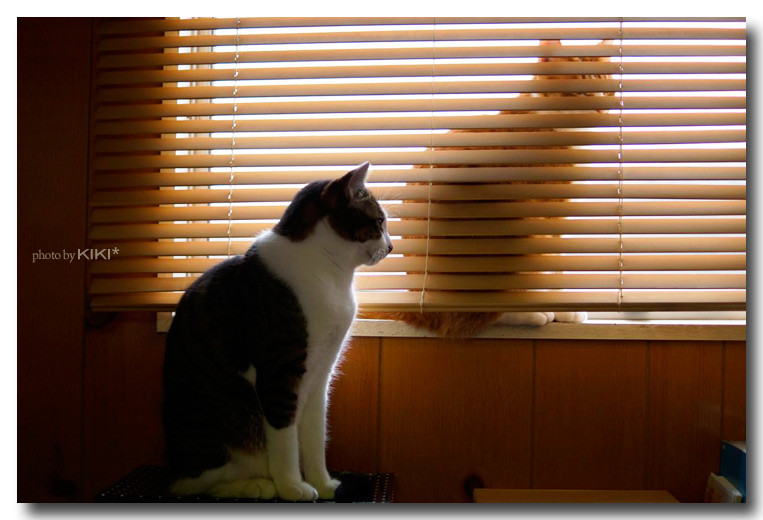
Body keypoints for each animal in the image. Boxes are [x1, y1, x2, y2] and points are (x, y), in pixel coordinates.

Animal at [163, 162, 392, 501]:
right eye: (378, 221)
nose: (390, 246)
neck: (331, 274)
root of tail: (173, 465)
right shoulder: (280, 372)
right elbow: (285, 440)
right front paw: (293, 487)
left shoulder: (321, 374)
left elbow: (315, 436)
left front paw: (324, 484)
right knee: (196, 484)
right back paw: (260, 485)